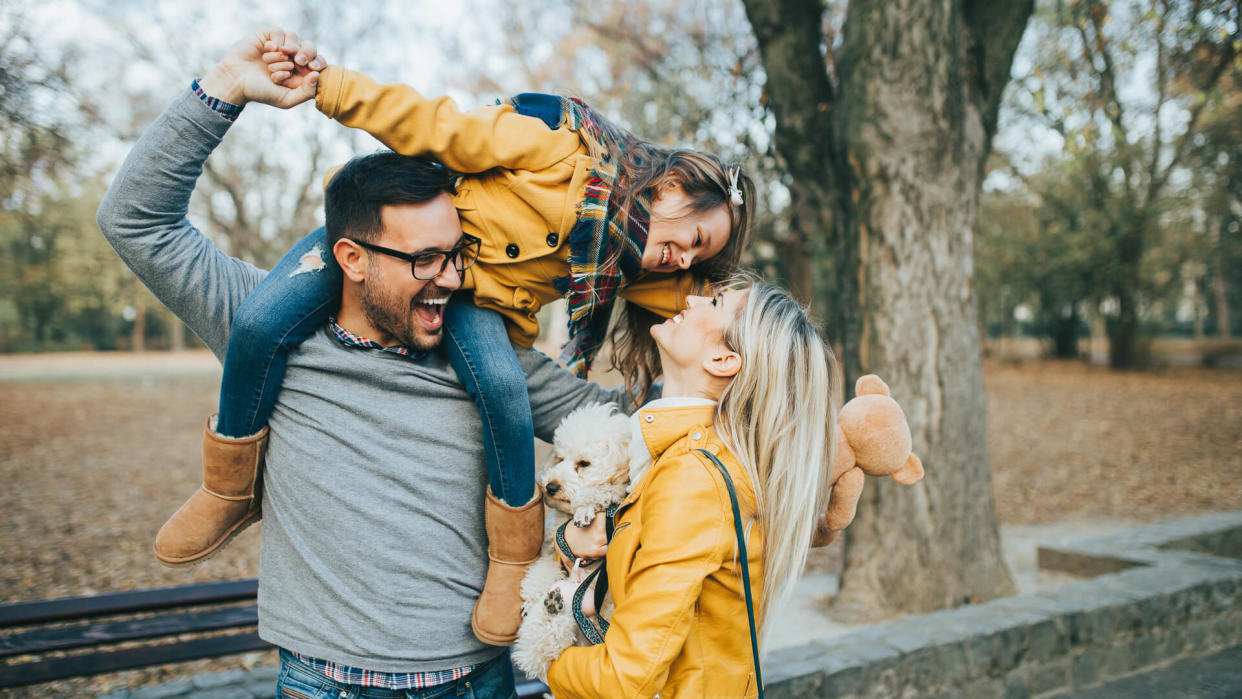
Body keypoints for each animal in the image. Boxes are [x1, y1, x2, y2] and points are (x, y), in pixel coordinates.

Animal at [511, 402, 630, 680]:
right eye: (559, 458)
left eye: (583, 463)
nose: (550, 486)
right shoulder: (552, 552)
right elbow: (539, 575)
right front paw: (531, 597)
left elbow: (608, 489)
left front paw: (586, 504)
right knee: (537, 650)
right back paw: (551, 608)